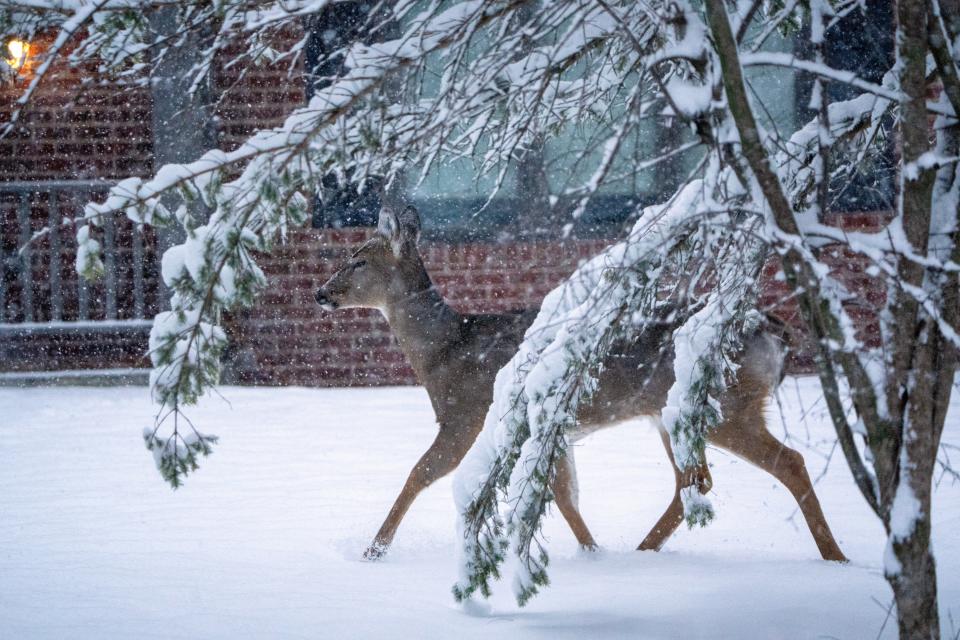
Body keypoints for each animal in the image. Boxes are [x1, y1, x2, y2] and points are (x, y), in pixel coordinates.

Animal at [316, 208, 848, 564]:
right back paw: (642, 553)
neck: (445, 352)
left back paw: (835, 556)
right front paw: (593, 554)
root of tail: (772, 330)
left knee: (788, 462)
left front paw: (373, 549)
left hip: (728, 402)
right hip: (673, 413)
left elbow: (419, 474)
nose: (321, 293)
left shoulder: (465, 415)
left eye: (359, 260)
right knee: (692, 483)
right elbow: (566, 495)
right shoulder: (549, 429)